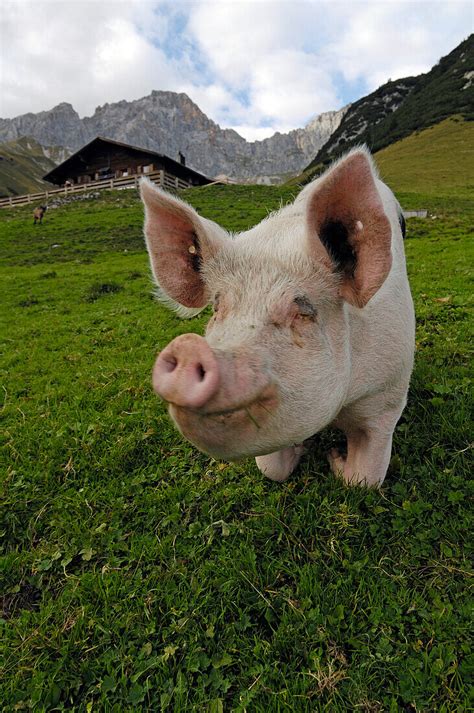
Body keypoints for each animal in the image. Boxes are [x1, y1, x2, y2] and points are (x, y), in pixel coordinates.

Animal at [141, 147, 415, 486]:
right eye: (217, 308)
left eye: (302, 312)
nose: (190, 348)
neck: (341, 407)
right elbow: (271, 469)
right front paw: (303, 449)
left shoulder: (387, 397)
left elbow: (365, 479)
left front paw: (334, 457)